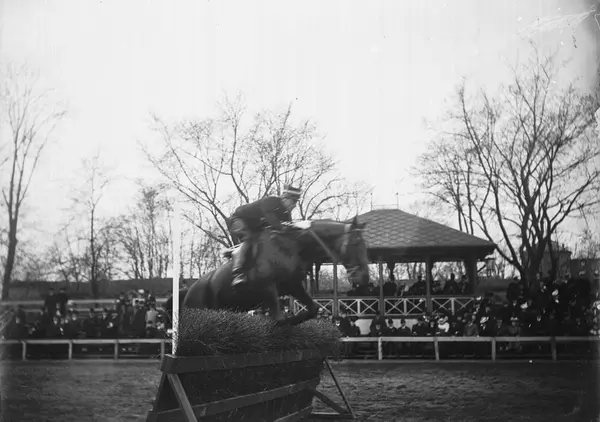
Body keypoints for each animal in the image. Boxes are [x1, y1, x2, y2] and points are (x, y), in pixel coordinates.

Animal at [165, 216, 370, 326]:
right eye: (355, 243)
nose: (365, 278)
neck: (295, 246)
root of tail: (187, 291)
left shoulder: (294, 286)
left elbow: (312, 308)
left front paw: (293, 320)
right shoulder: (268, 288)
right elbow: (277, 318)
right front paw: (283, 322)